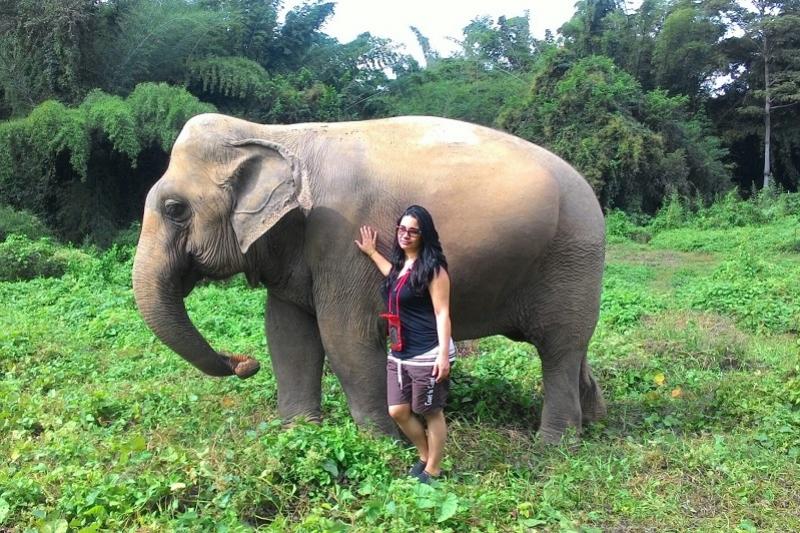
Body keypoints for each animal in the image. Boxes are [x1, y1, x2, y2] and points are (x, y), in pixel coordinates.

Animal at [132, 113, 607, 443]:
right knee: (575, 349)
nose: (244, 364)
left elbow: (346, 340)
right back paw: (597, 421)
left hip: (572, 257)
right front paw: (300, 434)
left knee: (558, 350)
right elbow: (287, 336)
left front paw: (384, 443)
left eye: (175, 209)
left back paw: (554, 446)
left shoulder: (341, 238)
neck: (276, 134)